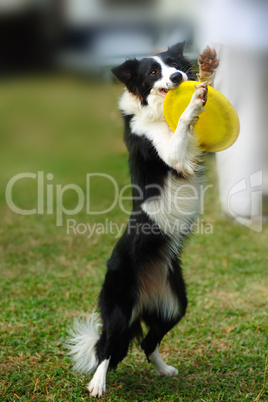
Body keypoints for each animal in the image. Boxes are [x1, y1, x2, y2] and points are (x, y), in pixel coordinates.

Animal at [67, 42, 209, 398]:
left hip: (174, 305)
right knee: (106, 348)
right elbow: (182, 126)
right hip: (119, 308)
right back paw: (97, 384)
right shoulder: (168, 150)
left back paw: (164, 370)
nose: (179, 77)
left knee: (147, 343)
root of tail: (145, 299)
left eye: (173, 63)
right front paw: (195, 99)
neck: (156, 110)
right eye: (153, 72)